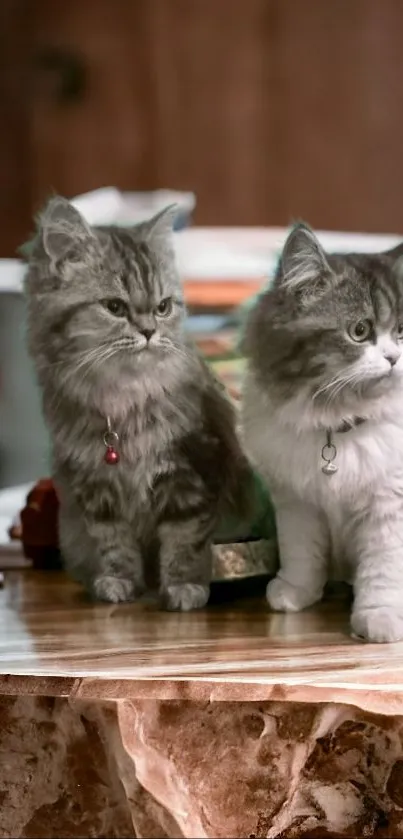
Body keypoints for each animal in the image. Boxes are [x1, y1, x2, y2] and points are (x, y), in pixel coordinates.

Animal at [25, 197, 249, 612]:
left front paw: (184, 590)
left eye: (162, 307)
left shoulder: (189, 473)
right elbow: (115, 545)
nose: (148, 331)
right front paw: (119, 584)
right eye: (114, 307)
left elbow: (184, 543)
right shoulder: (97, 488)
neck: (122, 399)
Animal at [243, 221, 403, 644]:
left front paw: (380, 620)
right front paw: (294, 594)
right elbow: (302, 555)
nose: (394, 358)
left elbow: (383, 571)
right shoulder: (298, 502)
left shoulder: (389, 509)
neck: (338, 425)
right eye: (360, 331)